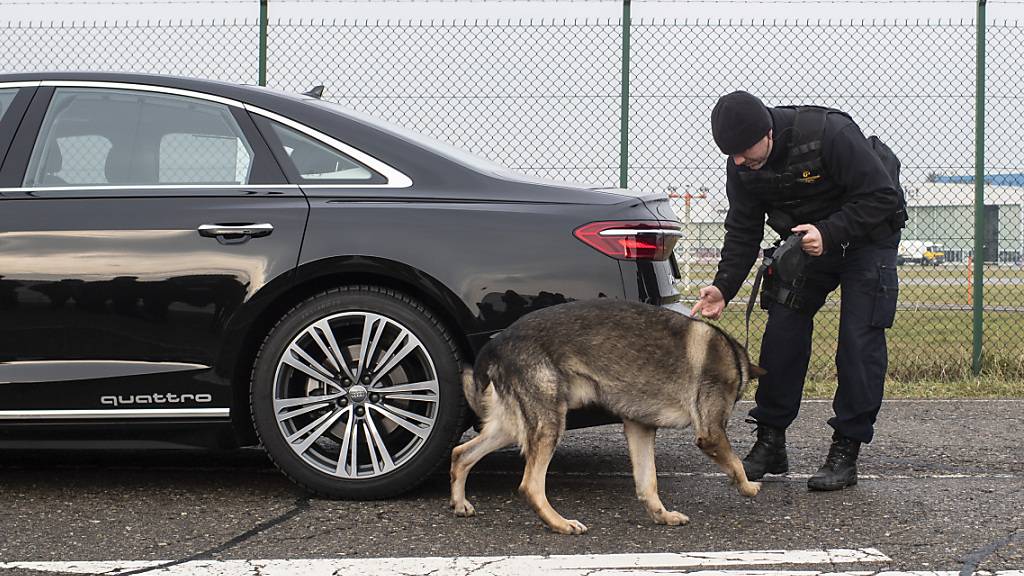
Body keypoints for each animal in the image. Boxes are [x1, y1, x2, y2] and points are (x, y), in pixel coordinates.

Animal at [452, 297, 765, 532]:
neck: (735, 359)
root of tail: (495, 344)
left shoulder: (640, 428)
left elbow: (647, 482)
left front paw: (661, 515)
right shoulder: (711, 433)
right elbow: (735, 462)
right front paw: (748, 487)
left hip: (511, 426)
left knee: (461, 454)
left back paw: (460, 503)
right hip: (549, 425)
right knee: (530, 486)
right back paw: (560, 523)